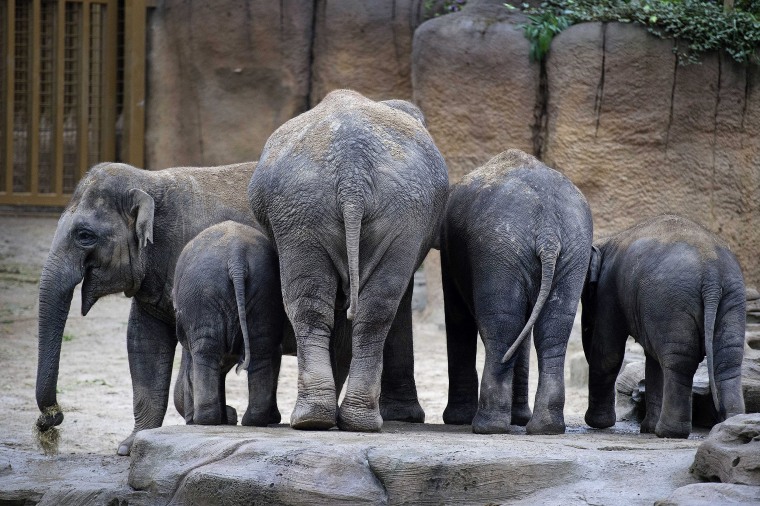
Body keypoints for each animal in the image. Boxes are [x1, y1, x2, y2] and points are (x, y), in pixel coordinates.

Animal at [35, 161, 256, 454]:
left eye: (84, 235)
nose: (50, 419)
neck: (150, 181)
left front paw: (216, 417)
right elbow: (143, 341)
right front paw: (130, 446)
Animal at [174, 220, 286, 426]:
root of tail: (236, 257)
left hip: (204, 291)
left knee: (206, 349)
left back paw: (205, 420)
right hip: (265, 289)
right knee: (260, 348)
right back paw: (252, 421)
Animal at [248, 90, 452, 430]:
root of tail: (351, 172)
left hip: (326, 209)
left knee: (324, 305)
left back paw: (324, 418)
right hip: (314, 208)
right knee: (364, 308)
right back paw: (328, 418)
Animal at [440, 149, 592, 434]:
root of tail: (548, 233)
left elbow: (457, 317)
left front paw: (457, 419)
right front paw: (519, 419)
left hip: (501, 250)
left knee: (503, 327)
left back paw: (488, 426)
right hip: (572, 250)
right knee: (554, 327)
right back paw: (546, 427)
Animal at [580, 215, 744, 436]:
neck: (608, 240)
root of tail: (712, 274)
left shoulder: (609, 290)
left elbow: (608, 353)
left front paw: (599, 424)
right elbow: (652, 360)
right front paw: (647, 429)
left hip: (674, 301)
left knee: (679, 362)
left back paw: (669, 432)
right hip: (731, 299)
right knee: (727, 360)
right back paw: (731, 423)